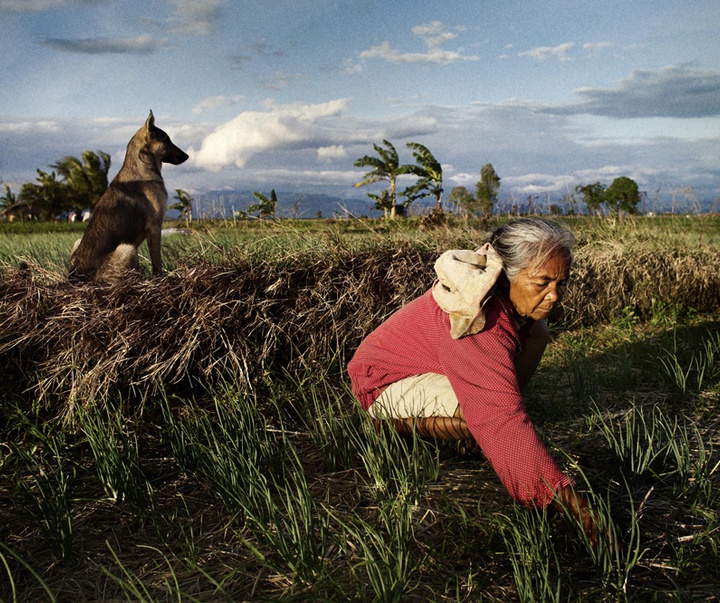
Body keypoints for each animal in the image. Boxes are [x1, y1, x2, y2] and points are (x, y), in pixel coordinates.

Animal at [67, 111, 188, 284]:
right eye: (166, 140)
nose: (187, 156)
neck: (142, 167)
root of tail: (77, 276)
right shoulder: (154, 227)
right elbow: (156, 260)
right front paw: (160, 278)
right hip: (128, 248)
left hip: (78, 242)